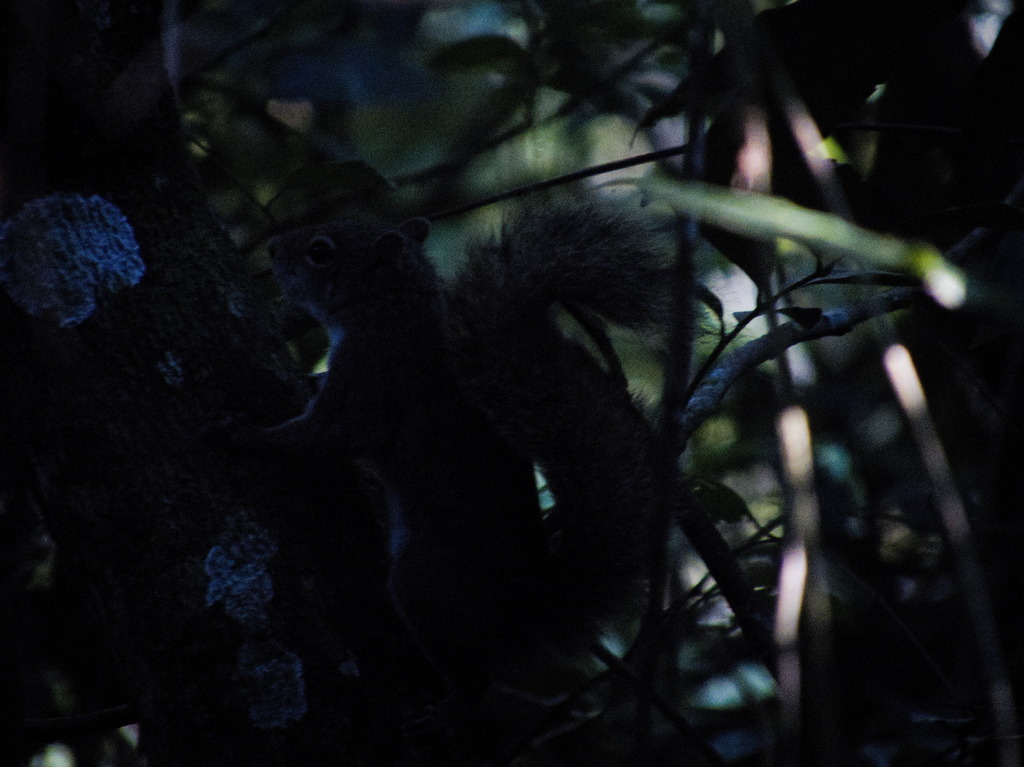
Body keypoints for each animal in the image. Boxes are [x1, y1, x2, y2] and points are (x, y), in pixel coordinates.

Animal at [248, 201, 672, 711]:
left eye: (319, 251)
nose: (272, 248)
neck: (390, 303)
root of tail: (532, 605)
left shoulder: (374, 374)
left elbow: (329, 435)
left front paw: (252, 436)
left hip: (427, 576)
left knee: (475, 680)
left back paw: (447, 703)